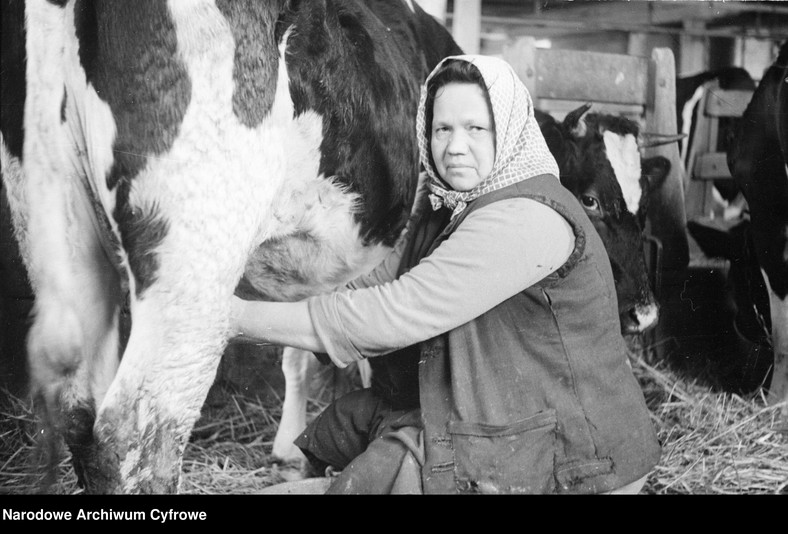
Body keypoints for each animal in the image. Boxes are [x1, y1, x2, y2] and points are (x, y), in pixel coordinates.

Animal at [1, 0, 462, 494]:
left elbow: (302, 349)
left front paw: (289, 452)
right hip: (196, 251)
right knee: (136, 434)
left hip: (62, 232)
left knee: (78, 414)